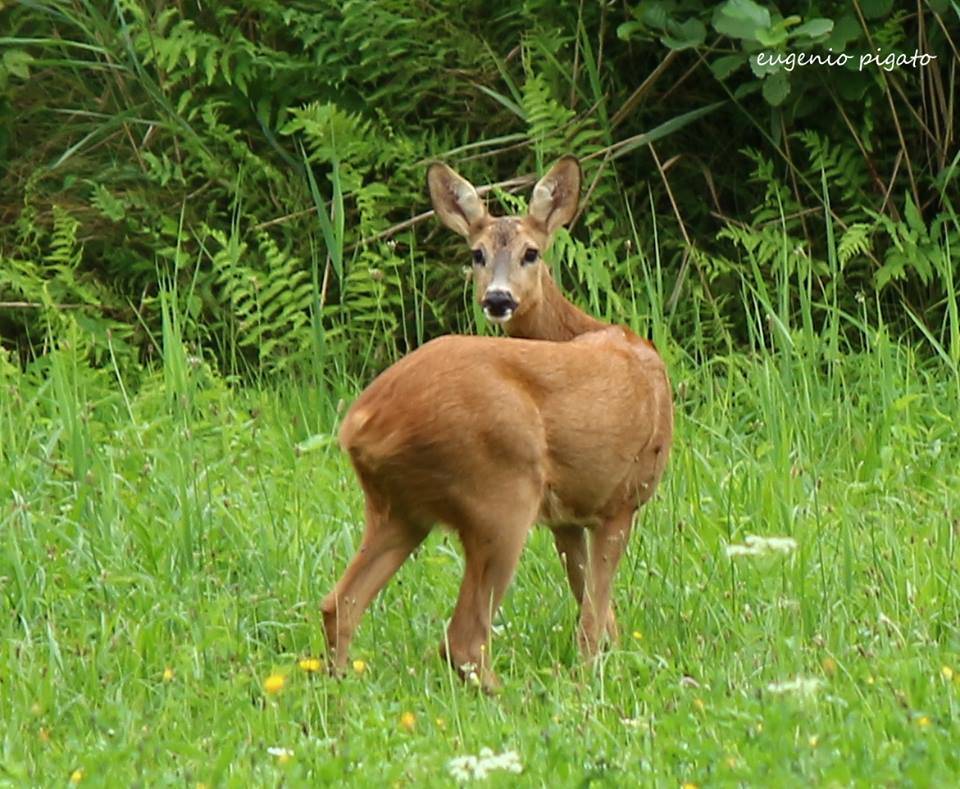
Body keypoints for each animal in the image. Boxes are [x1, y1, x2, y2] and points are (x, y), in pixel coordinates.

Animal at [324, 154, 676, 688]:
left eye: (532, 252)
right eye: (477, 253)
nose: (498, 299)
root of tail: (363, 422)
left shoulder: (566, 518)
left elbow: (592, 605)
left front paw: (614, 657)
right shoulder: (621, 499)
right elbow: (593, 615)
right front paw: (592, 677)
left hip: (397, 507)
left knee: (339, 603)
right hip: (499, 494)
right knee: (463, 638)